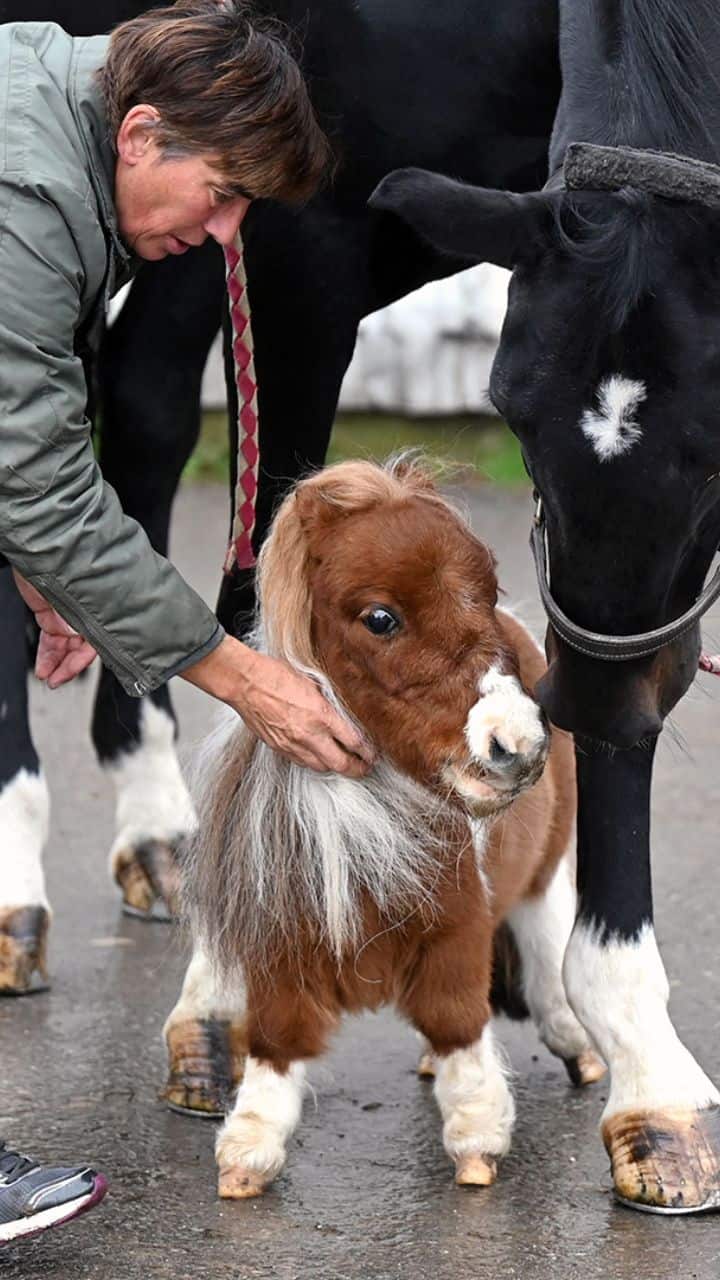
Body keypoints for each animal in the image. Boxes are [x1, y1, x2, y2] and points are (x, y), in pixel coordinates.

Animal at [168, 456, 601, 1198]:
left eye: (487, 588)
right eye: (380, 618)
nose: (515, 745)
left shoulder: (458, 932)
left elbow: (458, 1023)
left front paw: (477, 1143)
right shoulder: (282, 946)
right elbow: (276, 1041)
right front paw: (247, 1156)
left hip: (546, 869)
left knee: (545, 949)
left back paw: (578, 1048)